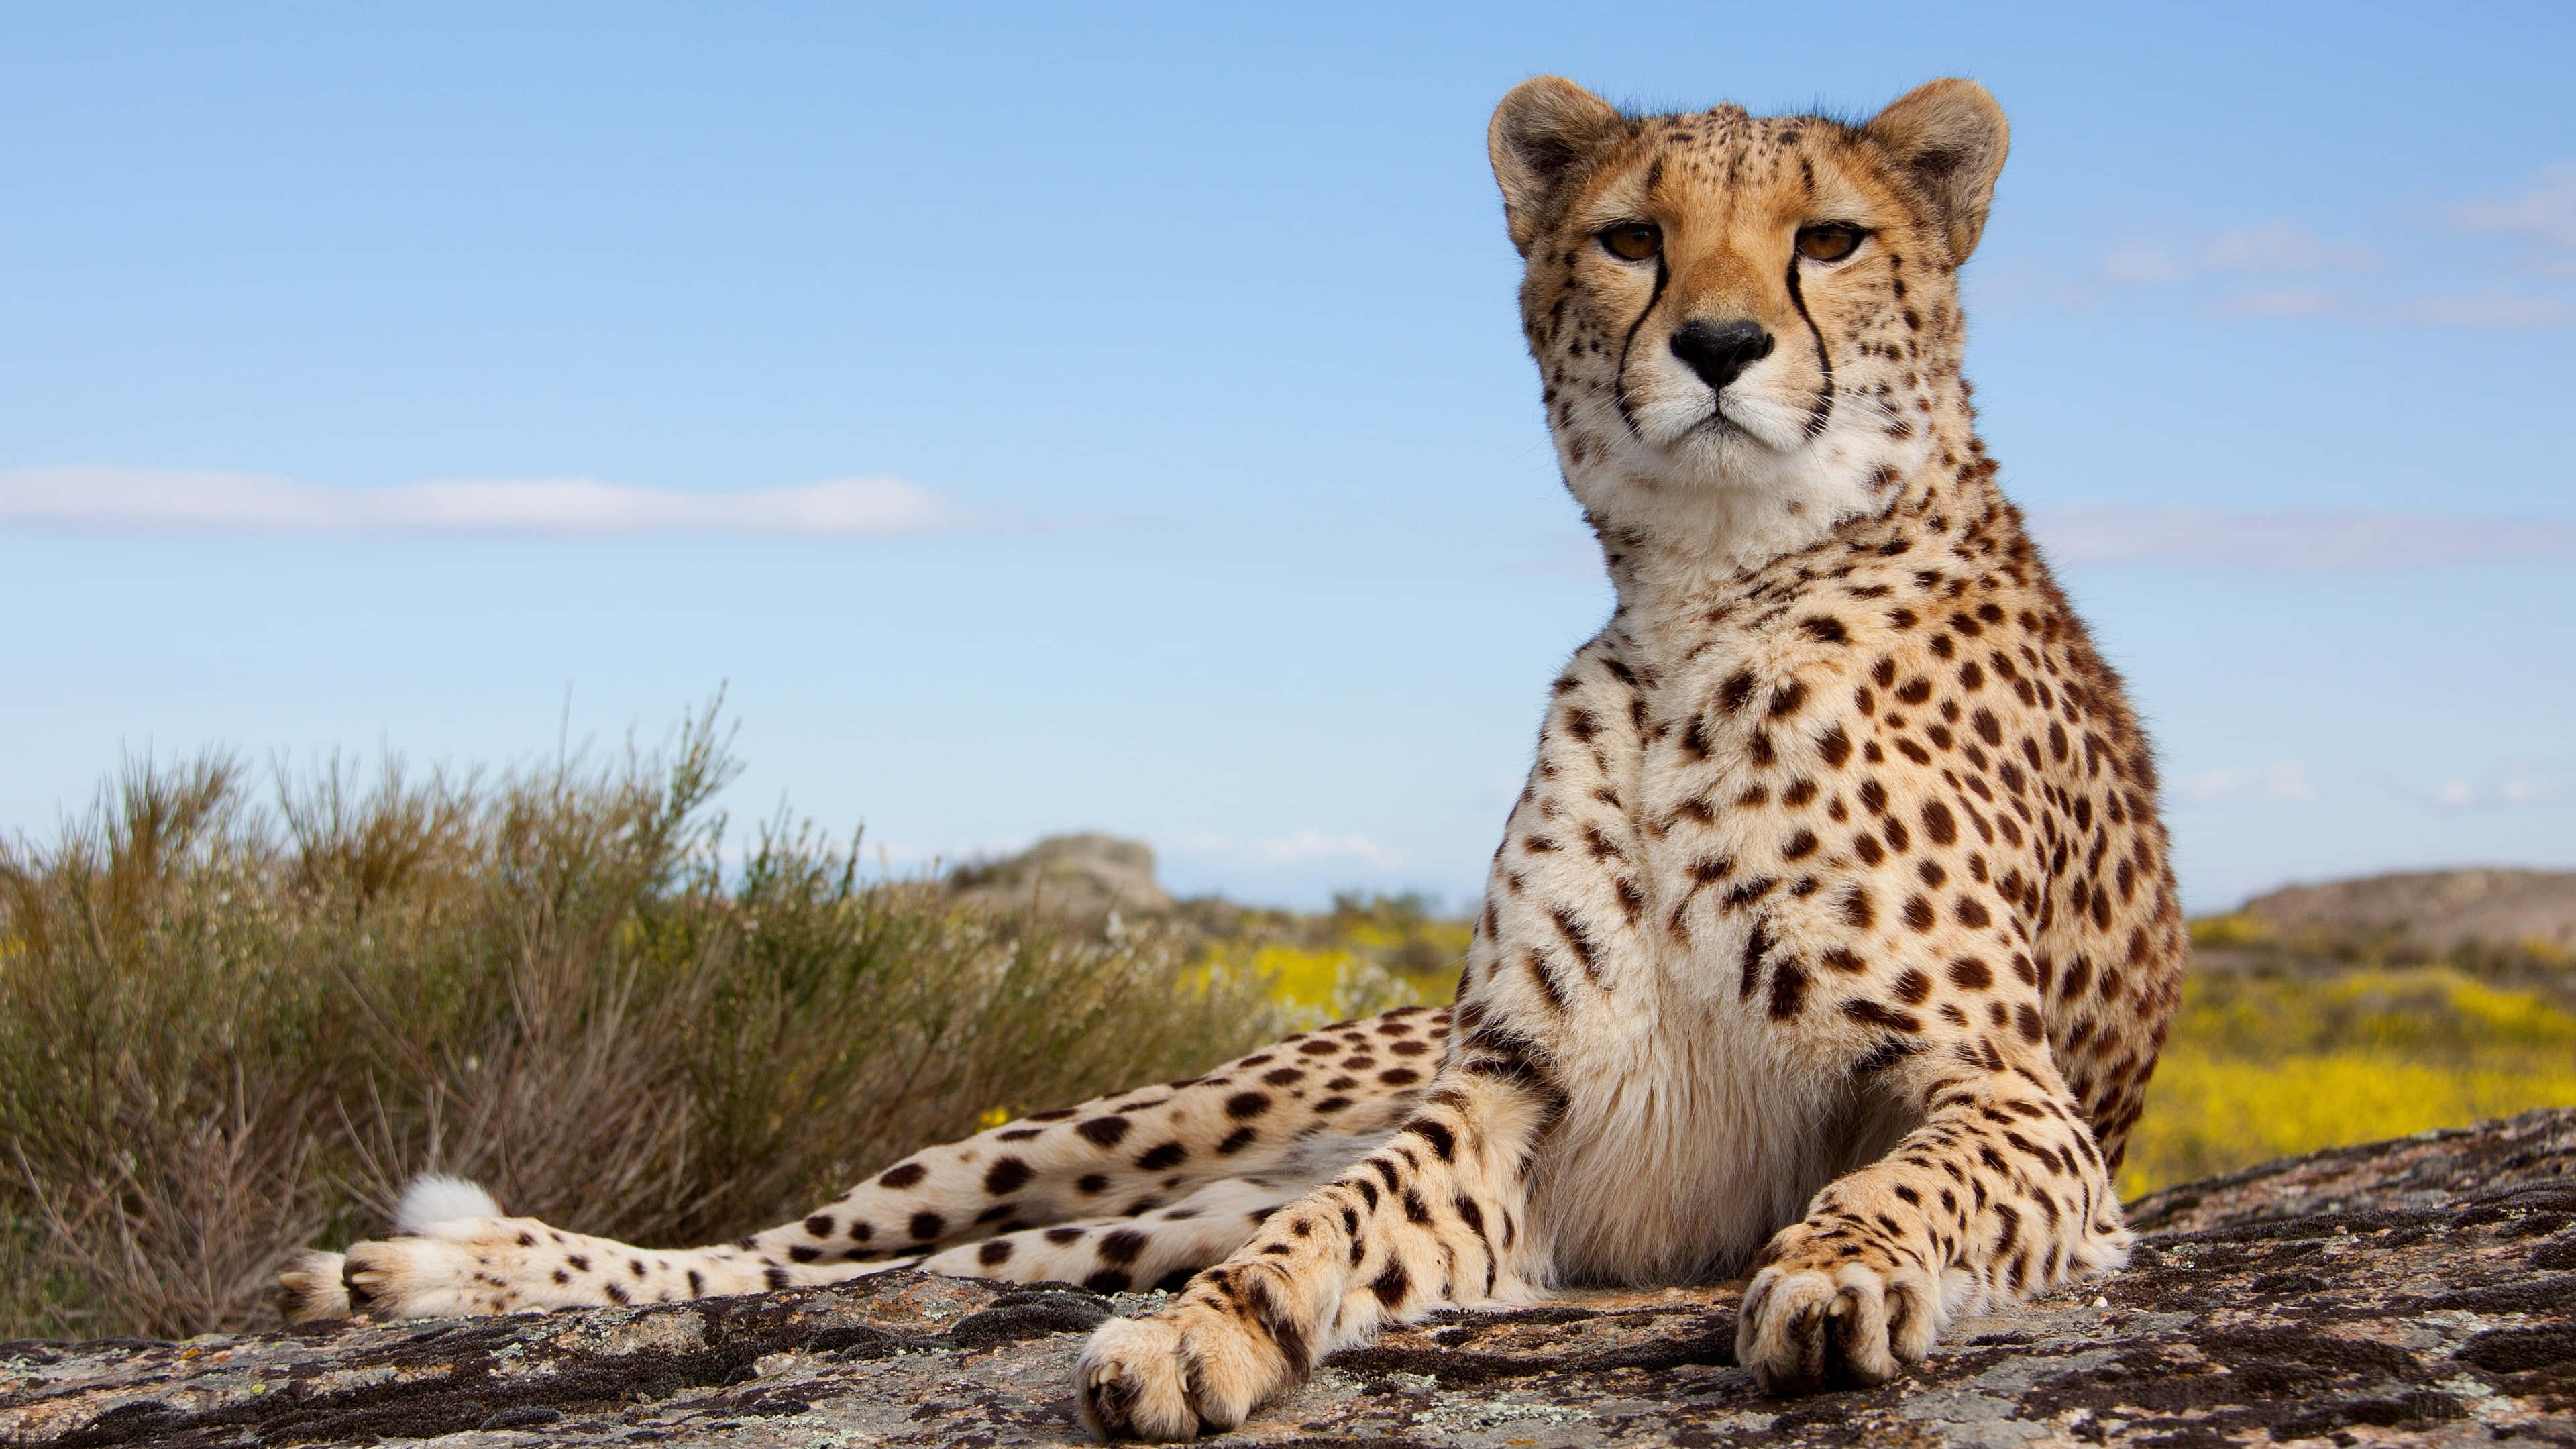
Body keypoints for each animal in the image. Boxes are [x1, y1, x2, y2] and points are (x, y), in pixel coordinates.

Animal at [279, 74, 2184, 1443]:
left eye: (1831, 240)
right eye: (1635, 239)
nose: (1718, 346)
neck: (1708, 596)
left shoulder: (2008, 1094)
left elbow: (1902, 1179)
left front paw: (1838, 1276)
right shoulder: (1511, 1100)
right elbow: (1335, 1228)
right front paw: (1211, 1338)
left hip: (1141, 1195)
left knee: (906, 1267)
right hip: (1137, 1131)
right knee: (793, 1250)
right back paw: (440, 1271)